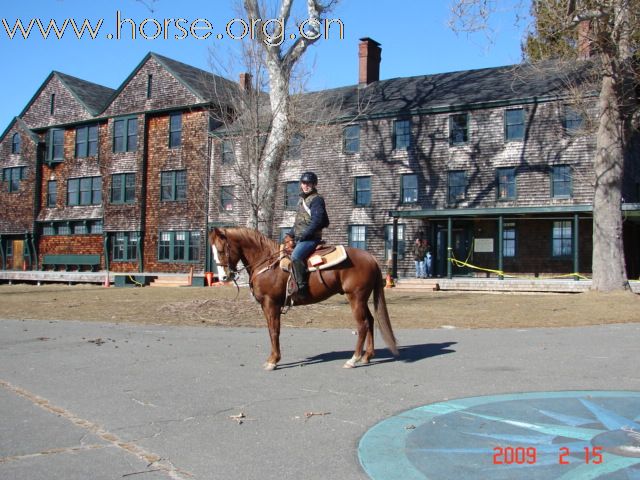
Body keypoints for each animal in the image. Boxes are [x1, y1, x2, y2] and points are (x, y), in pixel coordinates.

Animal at [210, 227, 398, 370]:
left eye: (221, 250)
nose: (223, 277)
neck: (266, 262)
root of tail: (371, 258)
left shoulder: (271, 303)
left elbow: (274, 331)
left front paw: (273, 361)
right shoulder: (266, 305)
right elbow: (272, 331)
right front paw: (273, 359)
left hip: (356, 298)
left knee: (362, 325)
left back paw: (354, 359)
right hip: (362, 299)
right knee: (371, 321)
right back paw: (367, 356)